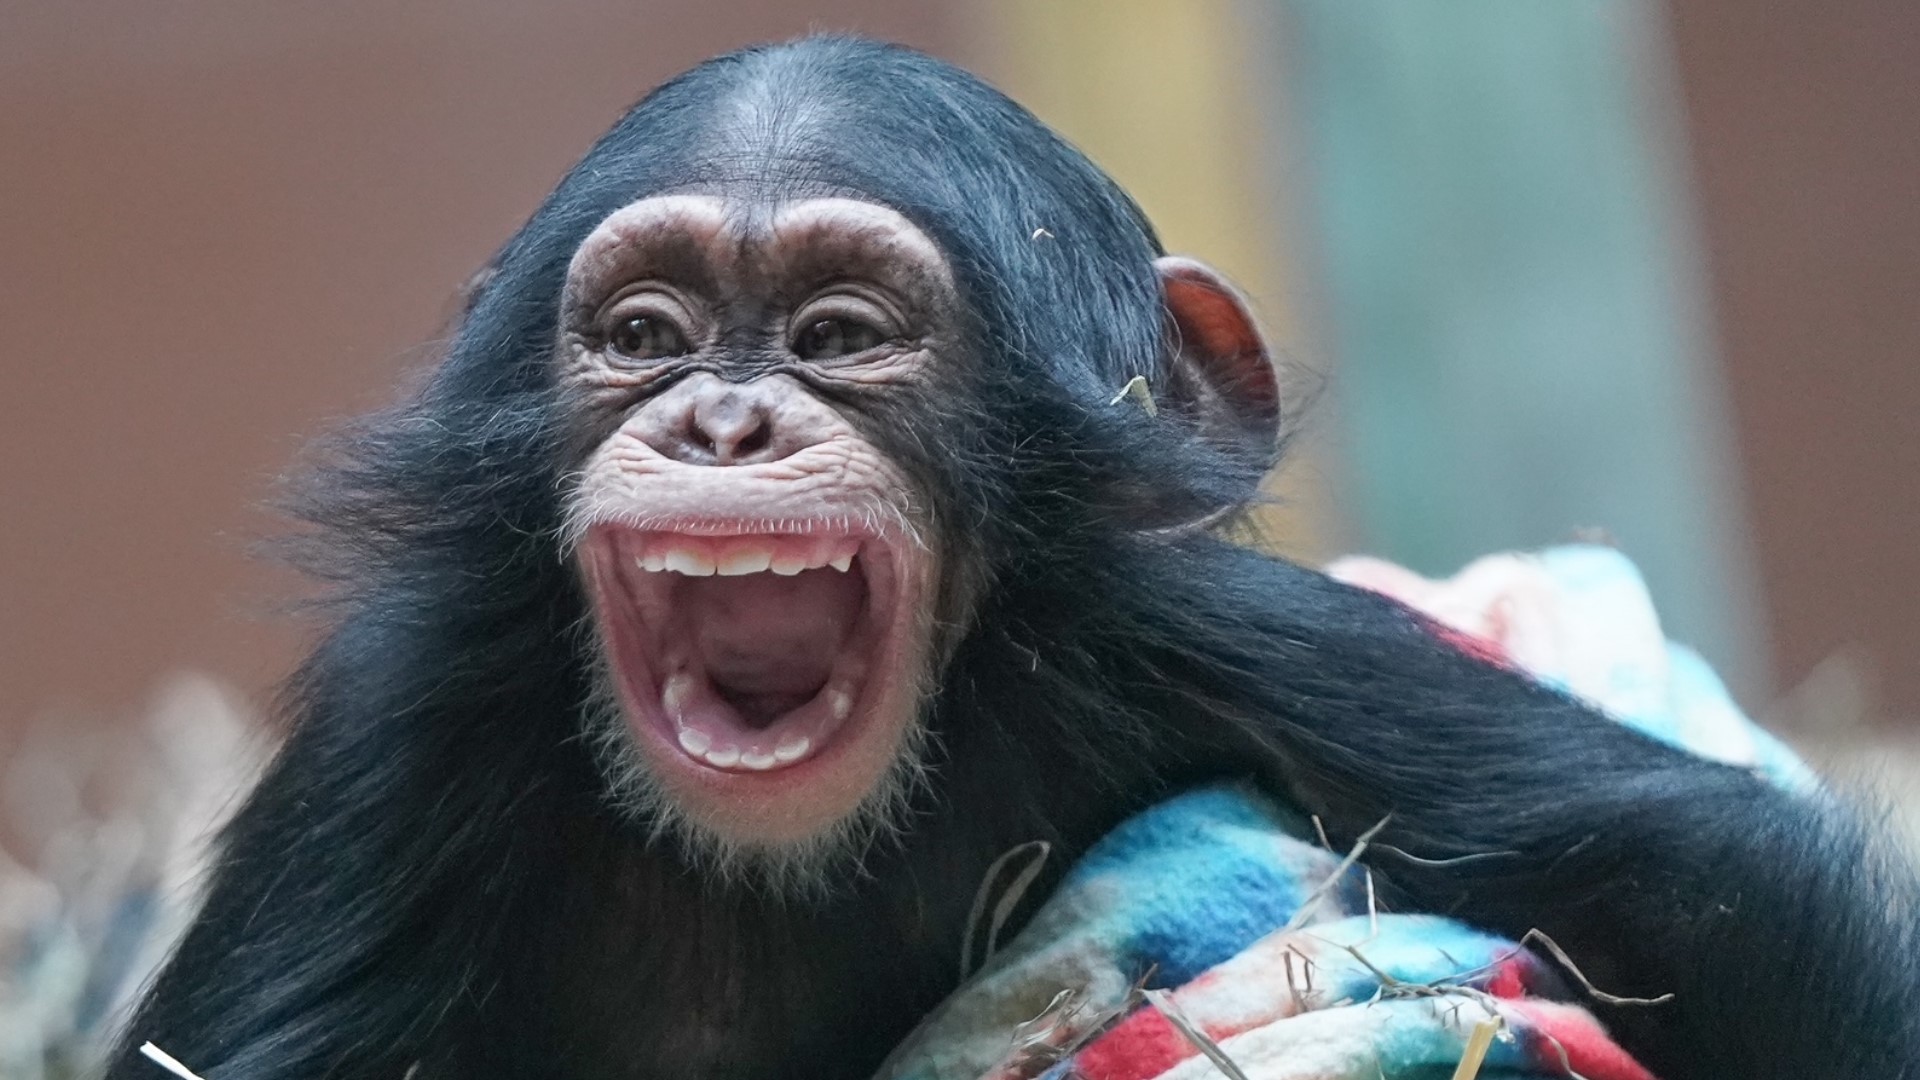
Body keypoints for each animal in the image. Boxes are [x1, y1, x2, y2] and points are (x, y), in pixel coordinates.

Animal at [112, 33, 1912, 1076]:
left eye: (842, 335)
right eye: (643, 336)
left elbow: (1694, 871)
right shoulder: (406, 720)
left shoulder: (1216, 629)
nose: (722, 421)